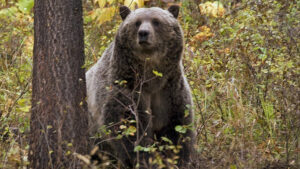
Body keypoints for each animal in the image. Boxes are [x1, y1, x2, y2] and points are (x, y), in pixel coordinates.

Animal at [86, 4, 195, 168]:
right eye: (137, 22)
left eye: (156, 21)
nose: (143, 33)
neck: (150, 78)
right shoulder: (126, 88)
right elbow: (131, 130)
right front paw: (143, 159)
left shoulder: (170, 91)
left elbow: (177, 129)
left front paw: (177, 159)